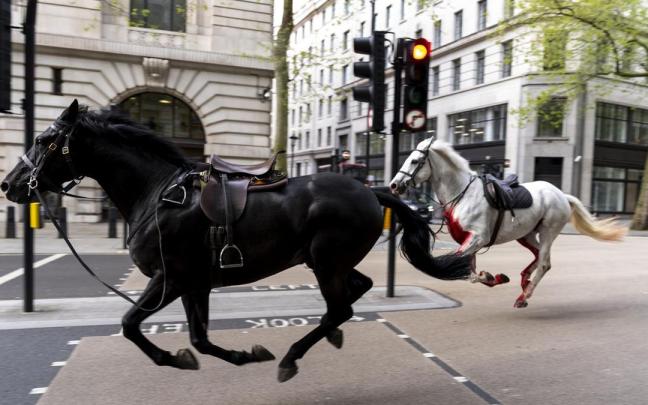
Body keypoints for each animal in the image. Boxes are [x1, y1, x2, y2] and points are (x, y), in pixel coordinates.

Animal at [2, 100, 472, 382]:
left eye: (43, 140)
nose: (10, 185)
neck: (156, 194)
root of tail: (370, 190)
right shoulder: (194, 283)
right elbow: (199, 339)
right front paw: (239, 355)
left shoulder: (169, 278)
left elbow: (131, 324)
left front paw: (173, 358)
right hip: (326, 261)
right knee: (355, 293)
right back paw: (328, 336)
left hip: (325, 261)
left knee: (340, 306)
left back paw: (292, 356)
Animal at [389, 138, 626, 308]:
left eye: (414, 160)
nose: (394, 185)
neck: (463, 194)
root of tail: (561, 194)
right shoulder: (469, 241)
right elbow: (469, 271)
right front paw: (493, 277)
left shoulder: (477, 238)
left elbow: (458, 269)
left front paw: (491, 276)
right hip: (526, 234)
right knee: (539, 257)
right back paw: (524, 283)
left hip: (548, 232)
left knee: (544, 263)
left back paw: (524, 296)